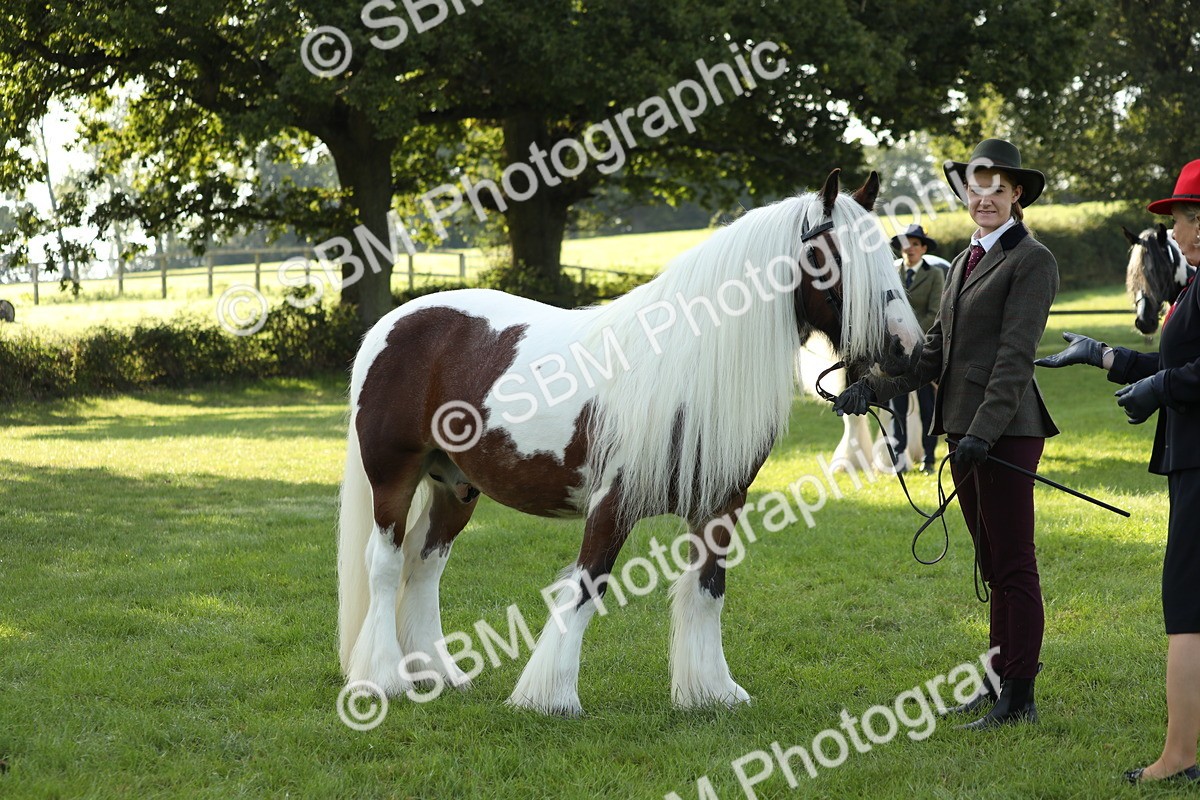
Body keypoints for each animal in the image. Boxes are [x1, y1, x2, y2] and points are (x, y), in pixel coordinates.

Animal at [336, 169, 925, 716]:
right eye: (832, 258)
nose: (910, 349)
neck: (690, 365)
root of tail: (394, 323)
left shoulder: (720, 506)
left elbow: (708, 590)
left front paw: (711, 692)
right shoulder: (612, 502)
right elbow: (587, 584)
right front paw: (551, 697)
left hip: (455, 485)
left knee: (424, 563)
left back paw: (437, 673)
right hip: (394, 477)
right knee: (385, 564)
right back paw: (383, 679)